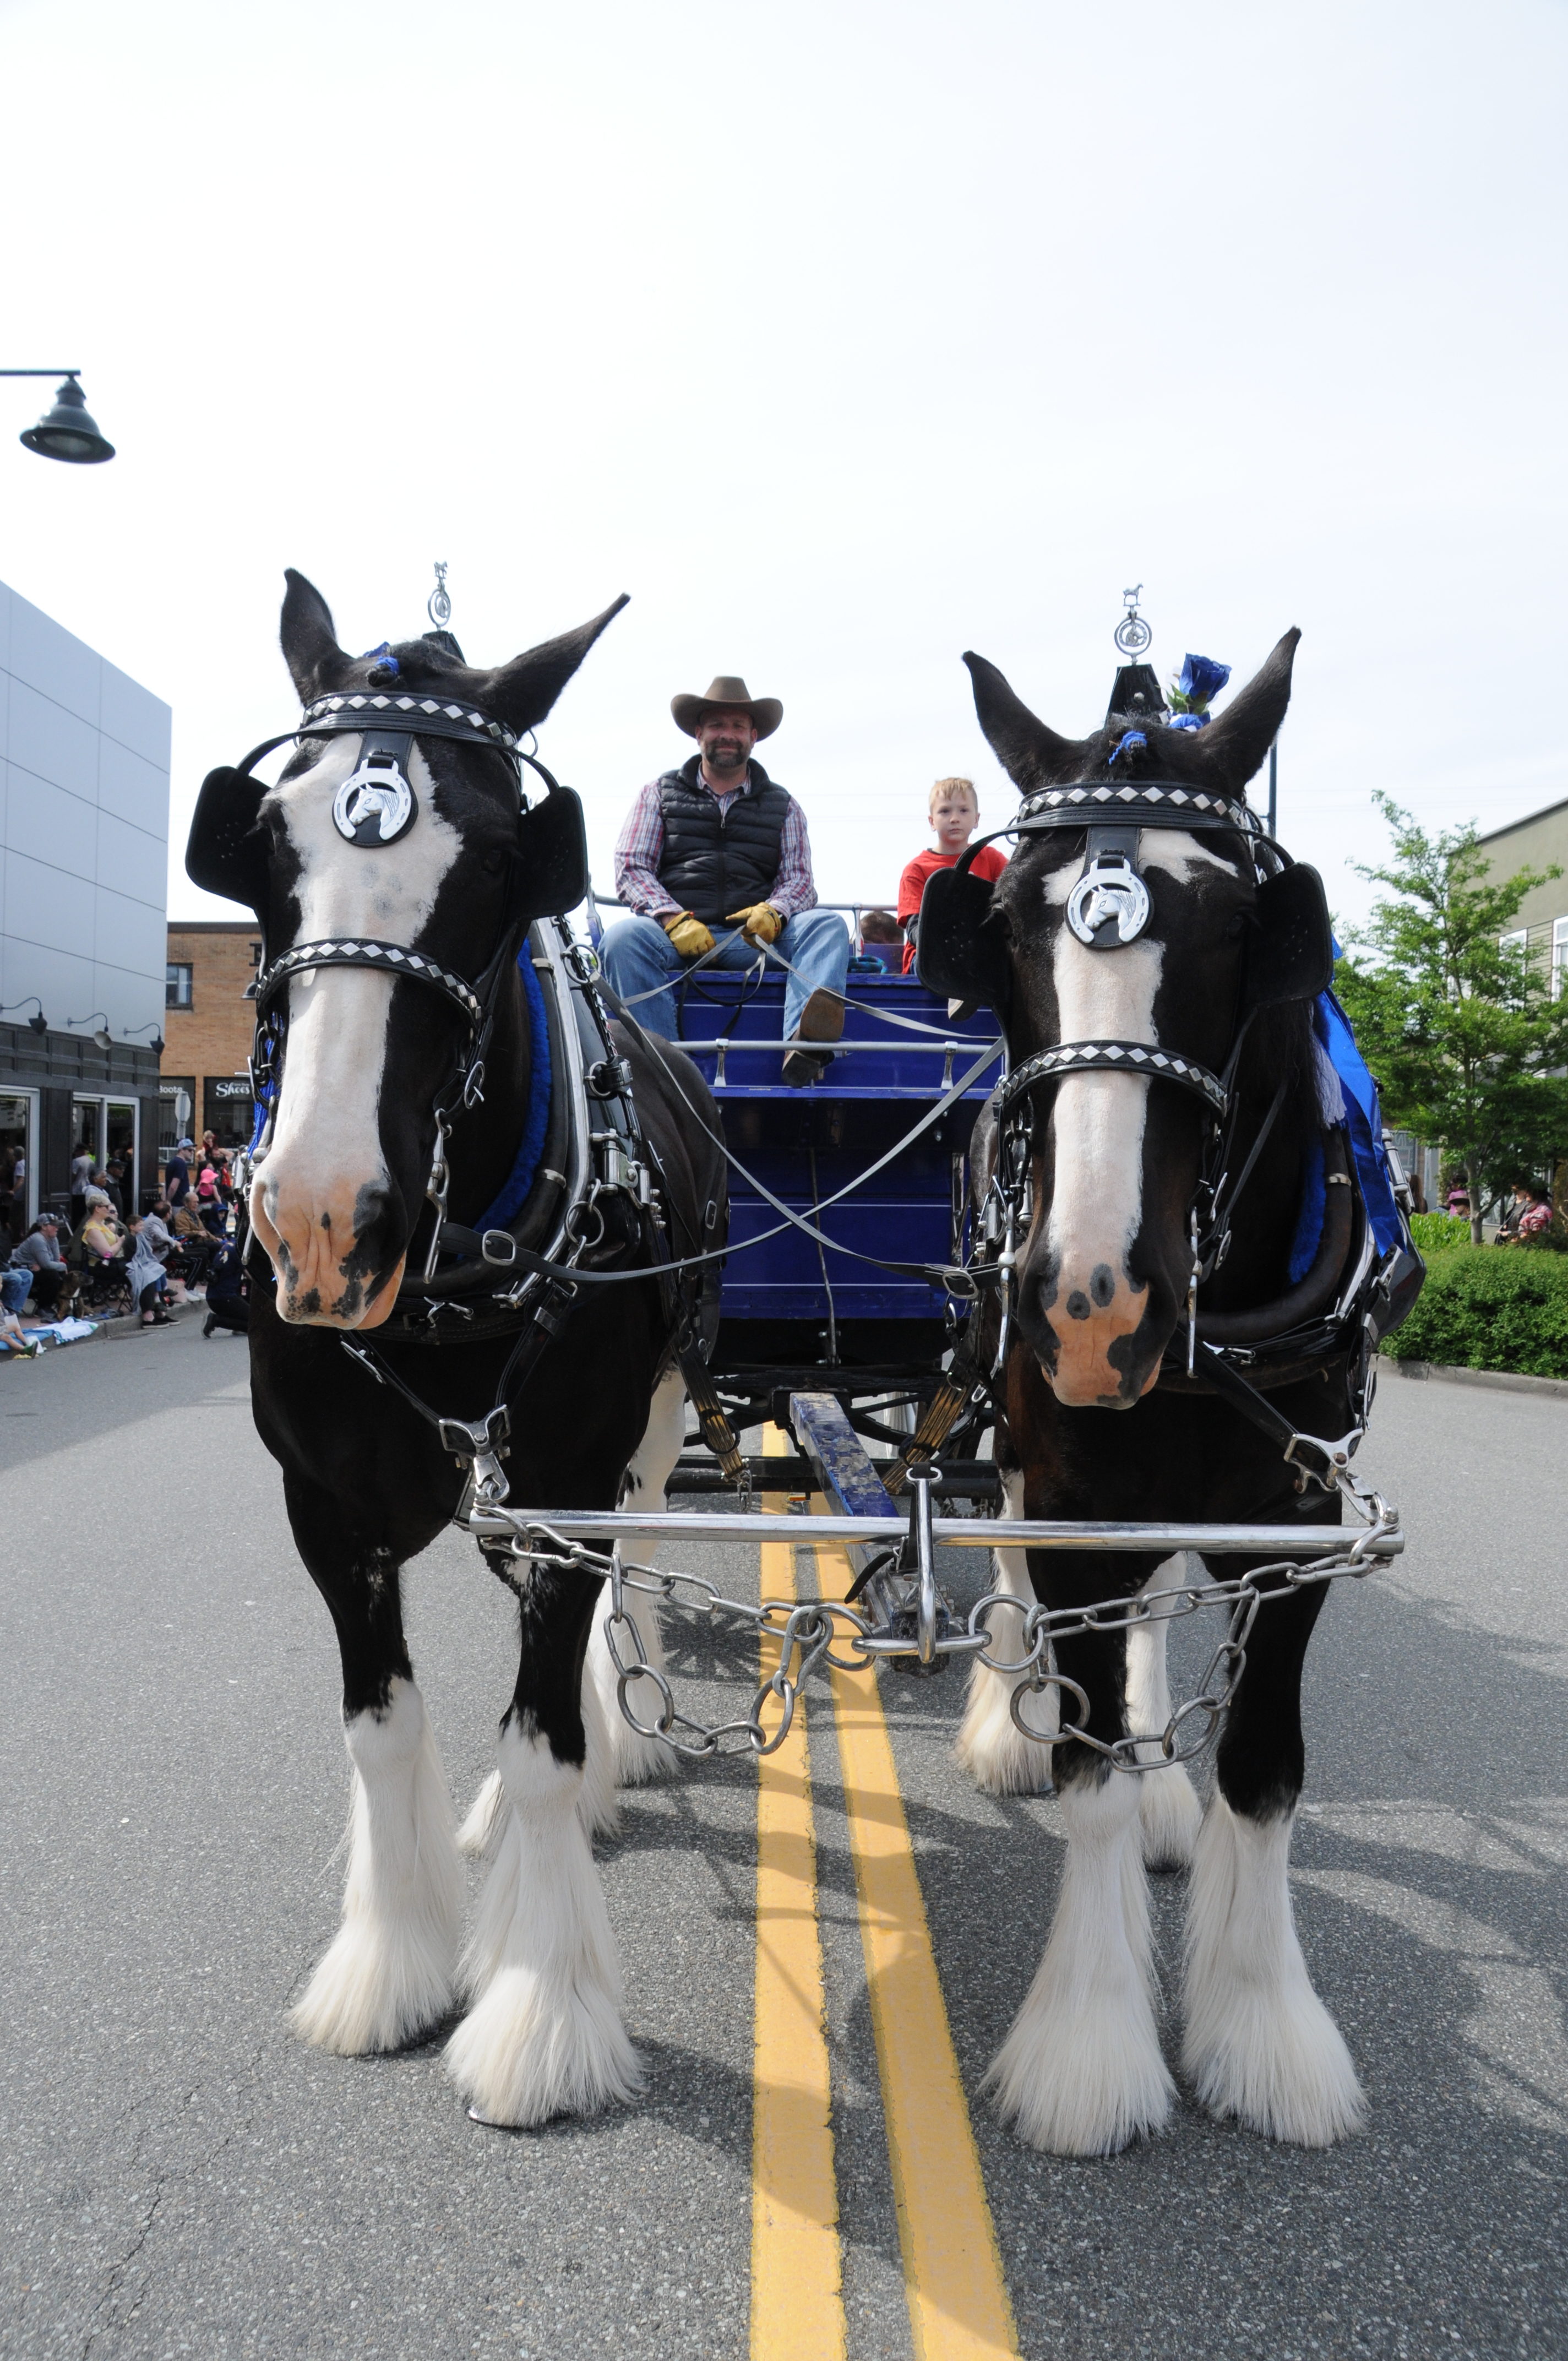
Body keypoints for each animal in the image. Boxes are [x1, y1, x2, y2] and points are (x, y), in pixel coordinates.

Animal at [191, 580, 722, 2134]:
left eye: (497, 862)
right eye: (264, 844)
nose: (322, 1212)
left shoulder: (563, 1481)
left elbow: (545, 1731)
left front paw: (538, 2013)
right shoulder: (323, 1503)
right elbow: (381, 1726)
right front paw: (393, 1963)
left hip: (646, 1426)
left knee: (630, 1569)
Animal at [944, 637, 1369, 2153]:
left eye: (1241, 924)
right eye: (1003, 921)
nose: (1092, 1299)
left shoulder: (1298, 1524)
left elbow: (1263, 1765)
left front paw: (1261, 2026)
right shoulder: (1072, 1498)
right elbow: (1080, 1778)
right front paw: (1087, 2044)